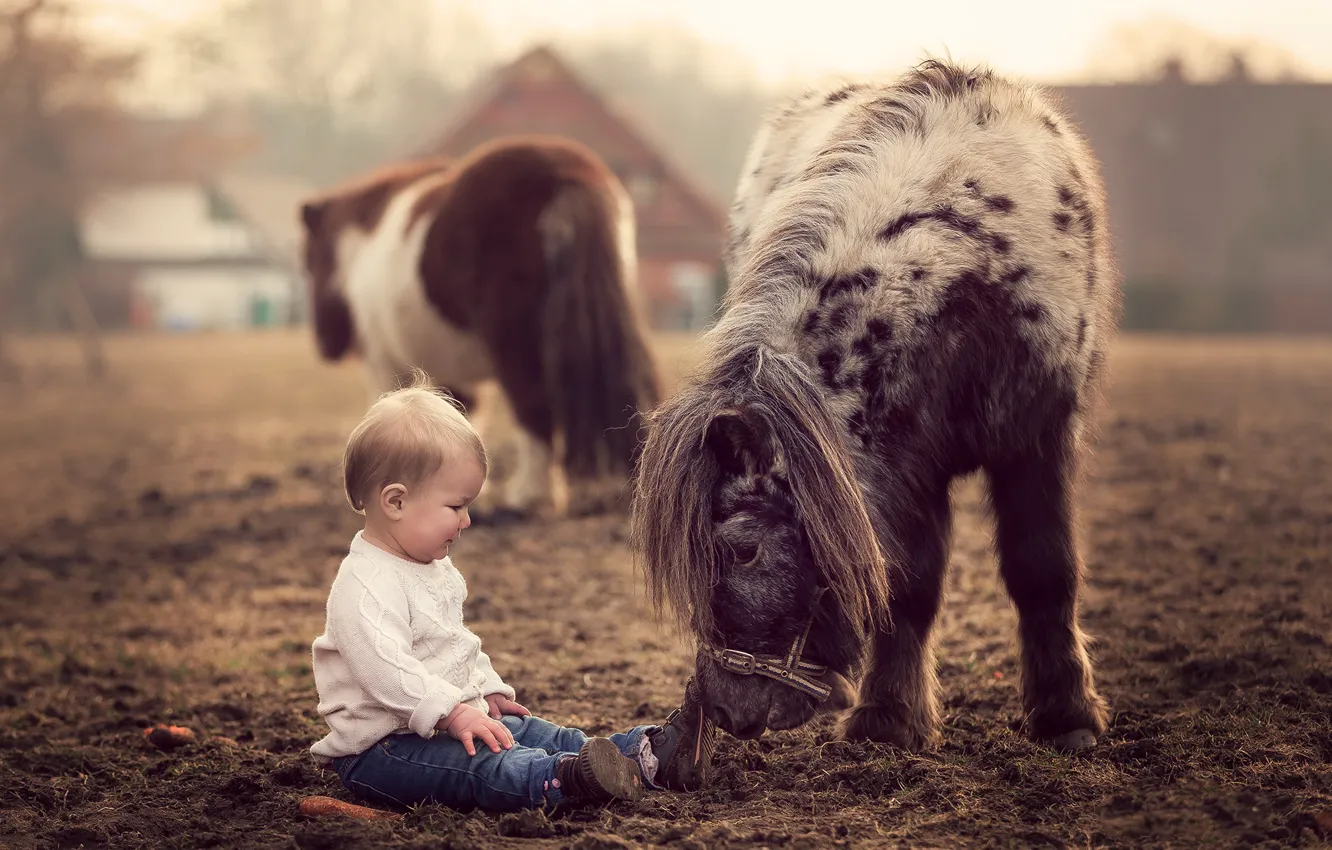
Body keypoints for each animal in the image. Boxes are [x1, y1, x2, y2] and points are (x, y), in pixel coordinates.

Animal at [298, 135, 662, 519]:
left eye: (308, 261)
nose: (326, 346)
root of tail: (564, 169)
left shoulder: (384, 363)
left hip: (514, 345)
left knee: (533, 408)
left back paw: (531, 496)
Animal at [630, 59, 1118, 752]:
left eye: (744, 549)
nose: (725, 709)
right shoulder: (907, 467)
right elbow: (906, 587)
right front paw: (888, 719)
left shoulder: (1036, 440)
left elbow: (1042, 569)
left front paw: (1067, 715)